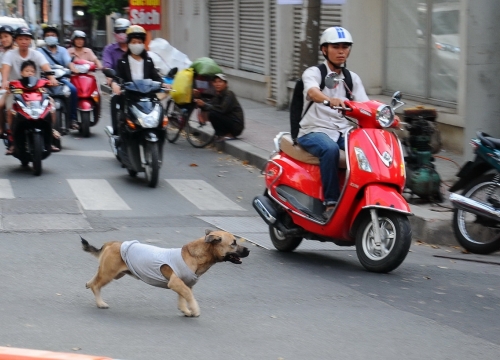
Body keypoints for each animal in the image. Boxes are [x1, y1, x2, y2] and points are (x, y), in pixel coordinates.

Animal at [80, 231, 250, 318]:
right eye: (233, 243)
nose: (248, 250)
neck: (195, 255)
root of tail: (112, 243)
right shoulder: (176, 283)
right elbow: (189, 296)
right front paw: (194, 310)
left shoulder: (183, 284)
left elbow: (184, 297)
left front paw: (185, 310)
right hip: (110, 273)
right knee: (96, 285)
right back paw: (100, 303)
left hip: (112, 272)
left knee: (94, 281)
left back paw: (89, 285)